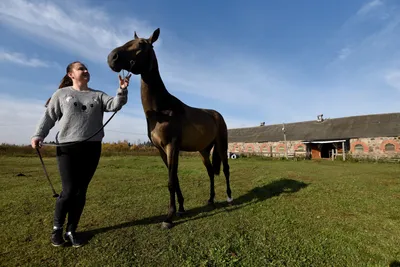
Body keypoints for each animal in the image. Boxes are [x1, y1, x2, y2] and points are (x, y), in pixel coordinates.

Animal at [106, 28, 233, 230]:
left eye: (141, 44)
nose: (112, 57)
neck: (162, 110)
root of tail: (217, 115)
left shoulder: (172, 146)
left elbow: (171, 181)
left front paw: (169, 217)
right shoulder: (160, 149)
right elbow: (175, 178)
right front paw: (180, 208)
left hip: (221, 145)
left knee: (226, 169)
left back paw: (229, 198)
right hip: (203, 151)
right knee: (210, 173)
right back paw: (211, 199)